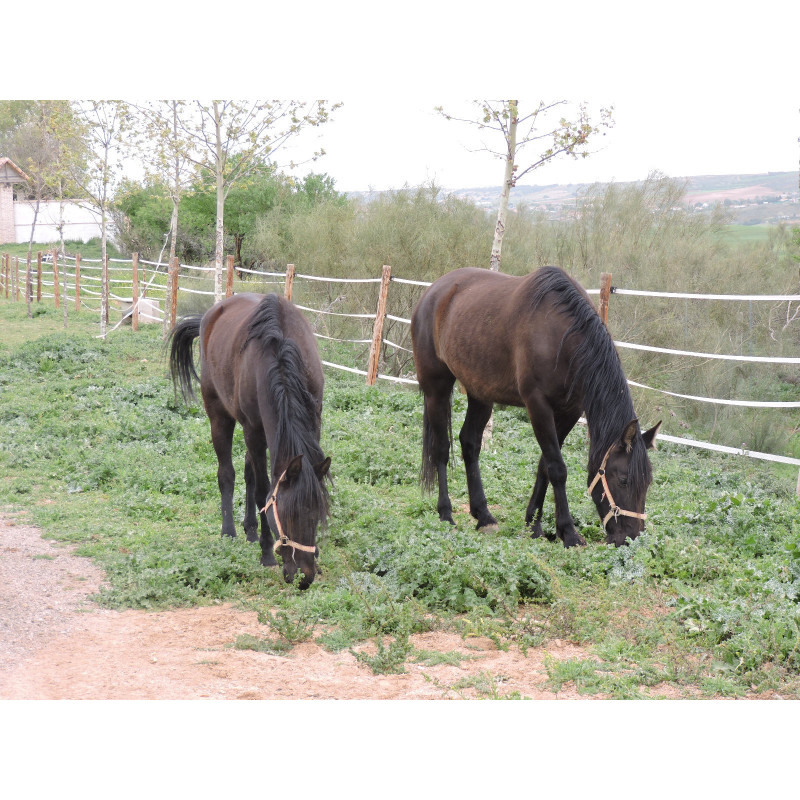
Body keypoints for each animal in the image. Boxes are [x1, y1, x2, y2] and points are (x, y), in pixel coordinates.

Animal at [169, 292, 331, 588]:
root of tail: (209, 315)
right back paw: (230, 532)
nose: (304, 577)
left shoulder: (313, 421)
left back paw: (250, 530)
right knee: (227, 474)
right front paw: (266, 553)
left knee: (247, 473)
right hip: (219, 416)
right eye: (287, 514)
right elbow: (262, 491)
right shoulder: (254, 431)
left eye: (317, 514)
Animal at [411, 266, 660, 547]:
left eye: (648, 483)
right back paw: (446, 514)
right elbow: (557, 468)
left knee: (470, 443)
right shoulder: (538, 405)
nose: (631, 537)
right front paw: (568, 532)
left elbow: (544, 466)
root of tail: (432, 292)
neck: (562, 338)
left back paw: (483, 516)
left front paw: (535, 525)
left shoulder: (569, 411)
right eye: (624, 480)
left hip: (480, 394)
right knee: (441, 448)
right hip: (437, 388)